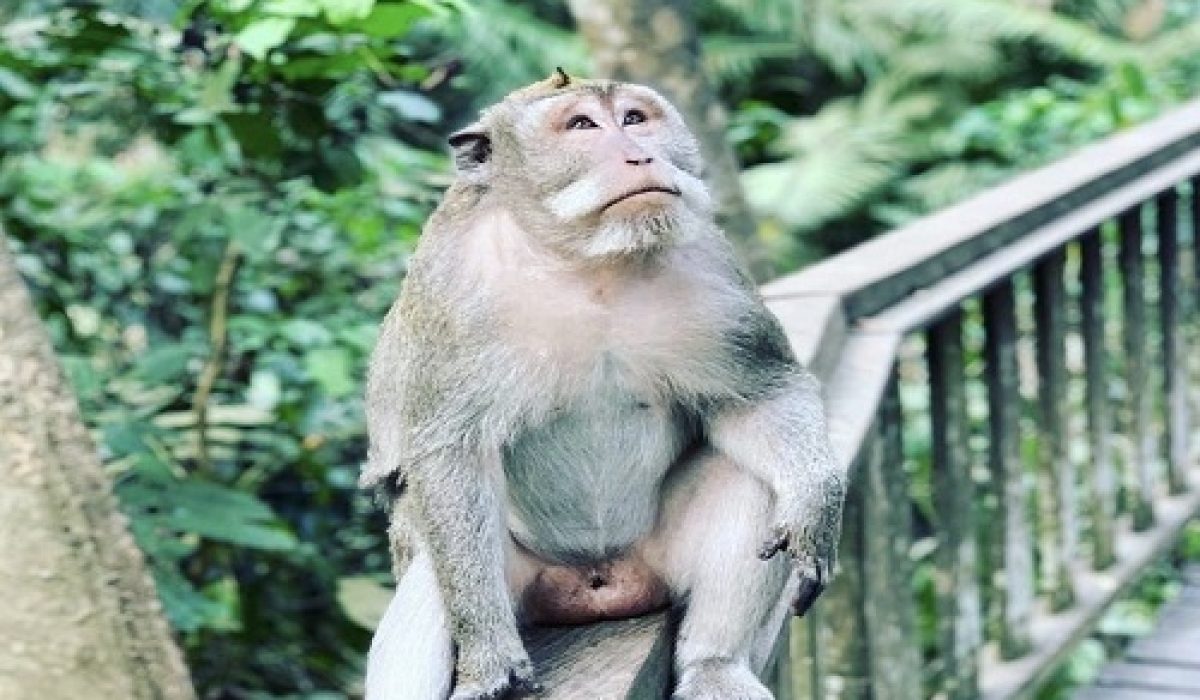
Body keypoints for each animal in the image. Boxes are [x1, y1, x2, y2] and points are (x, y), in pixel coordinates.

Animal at [360, 70, 846, 700]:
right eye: (581, 125)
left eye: (634, 118)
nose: (639, 155)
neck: (586, 262)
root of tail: (599, 584)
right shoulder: (453, 292)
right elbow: (450, 455)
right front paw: (489, 661)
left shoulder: (711, 266)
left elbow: (758, 398)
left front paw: (816, 500)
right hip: (522, 580)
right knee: (432, 576)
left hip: (652, 557)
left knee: (749, 480)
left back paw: (714, 666)